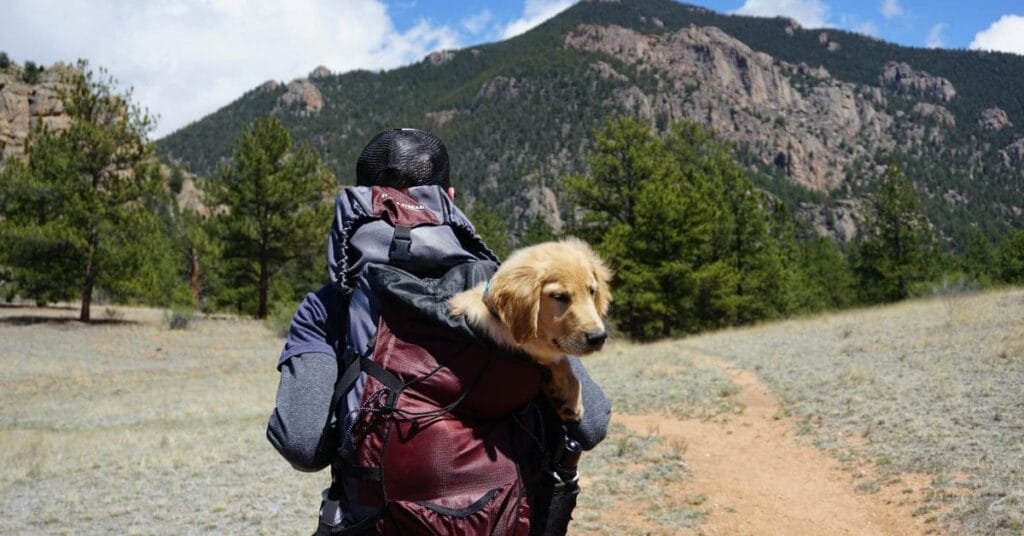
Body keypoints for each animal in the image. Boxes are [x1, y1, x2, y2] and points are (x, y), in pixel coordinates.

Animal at [448, 239, 606, 424]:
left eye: (592, 291)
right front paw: (570, 399)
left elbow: (562, 361)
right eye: (559, 296)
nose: (599, 337)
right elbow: (559, 360)